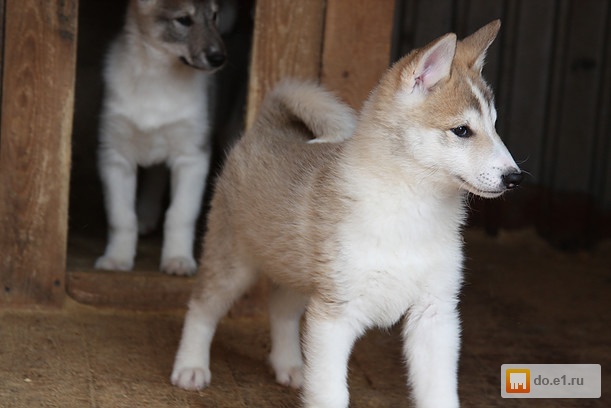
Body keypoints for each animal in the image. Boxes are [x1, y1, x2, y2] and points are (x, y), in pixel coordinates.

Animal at [97, 0, 226, 276]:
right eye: (184, 20)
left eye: (214, 16)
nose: (219, 58)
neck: (157, 76)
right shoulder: (115, 157)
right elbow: (121, 217)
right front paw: (117, 259)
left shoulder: (192, 158)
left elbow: (179, 214)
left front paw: (178, 259)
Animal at [171, 19, 520, 408]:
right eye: (461, 130)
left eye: (494, 126)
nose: (515, 177)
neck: (412, 208)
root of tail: (270, 126)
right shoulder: (335, 316)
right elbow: (330, 392)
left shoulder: (435, 314)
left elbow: (440, 392)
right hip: (234, 263)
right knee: (202, 307)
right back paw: (191, 367)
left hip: (300, 272)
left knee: (280, 309)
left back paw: (290, 366)